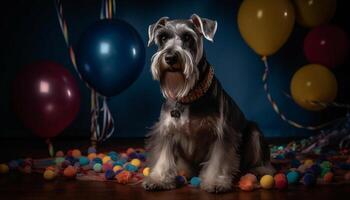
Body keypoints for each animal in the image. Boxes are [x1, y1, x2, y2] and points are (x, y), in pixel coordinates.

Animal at [142, 13, 274, 192]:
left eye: (187, 37)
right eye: (162, 37)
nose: (169, 57)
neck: (189, 96)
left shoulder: (222, 133)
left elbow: (219, 160)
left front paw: (216, 182)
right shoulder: (166, 131)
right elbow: (163, 156)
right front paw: (158, 179)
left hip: (254, 131)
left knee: (261, 160)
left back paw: (260, 170)